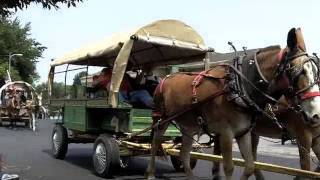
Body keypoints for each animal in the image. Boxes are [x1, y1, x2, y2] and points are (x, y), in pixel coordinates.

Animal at [146, 28, 320, 180]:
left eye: (316, 72)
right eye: (298, 72)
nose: (316, 114)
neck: (238, 86)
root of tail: (165, 78)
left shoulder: (243, 132)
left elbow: (250, 166)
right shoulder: (226, 133)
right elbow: (229, 167)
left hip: (188, 125)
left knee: (184, 153)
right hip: (161, 119)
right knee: (155, 143)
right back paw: (150, 173)